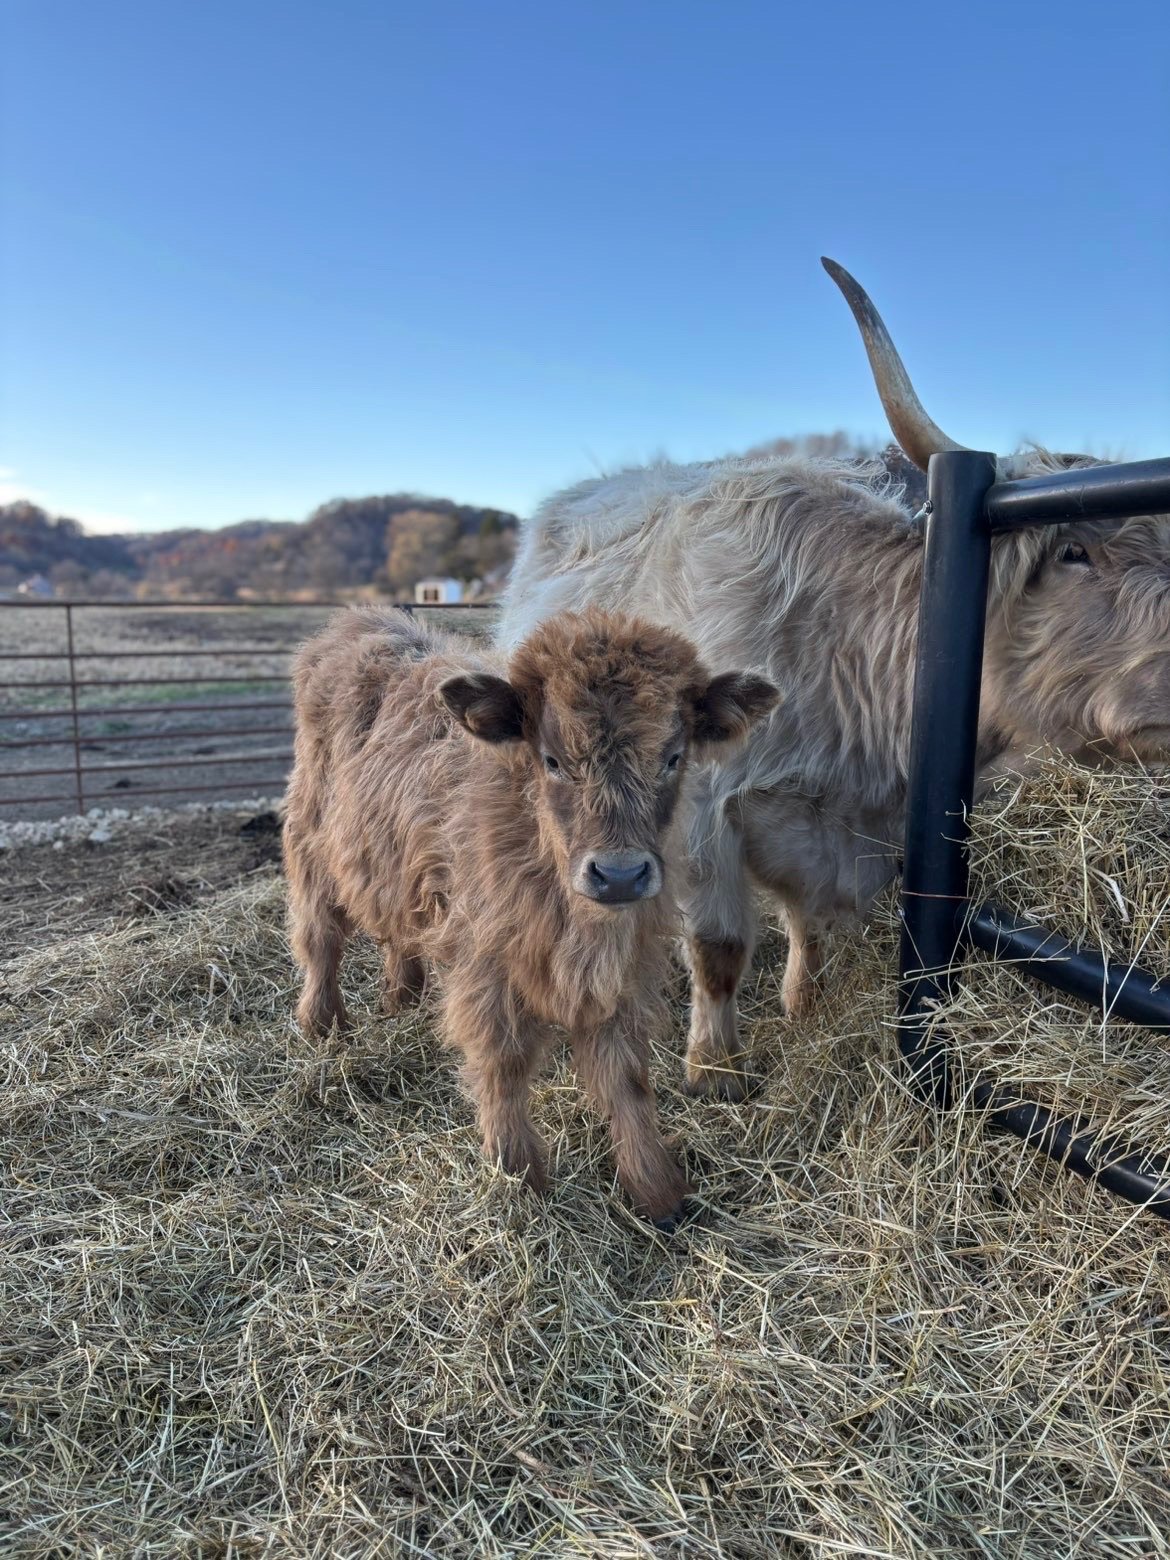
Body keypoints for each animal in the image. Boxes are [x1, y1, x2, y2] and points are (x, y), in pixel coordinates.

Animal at [283, 606, 777, 1227]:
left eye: (672, 757)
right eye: (553, 760)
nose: (618, 874)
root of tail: (358, 620)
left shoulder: (625, 973)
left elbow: (626, 1079)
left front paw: (657, 1191)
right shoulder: (485, 968)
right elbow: (504, 1066)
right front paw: (517, 1178)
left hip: (396, 865)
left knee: (399, 930)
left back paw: (402, 996)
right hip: (310, 841)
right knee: (319, 936)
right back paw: (321, 1023)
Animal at [497, 260, 1170, 1100]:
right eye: (1076, 549)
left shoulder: (847, 832)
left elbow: (809, 921)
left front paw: (805, 1006)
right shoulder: (707, 813)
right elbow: (719, 947)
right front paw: (715, 1070)